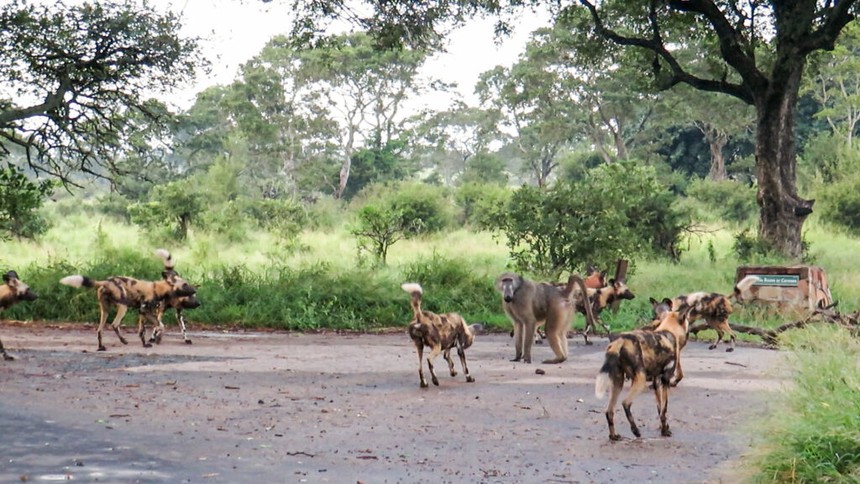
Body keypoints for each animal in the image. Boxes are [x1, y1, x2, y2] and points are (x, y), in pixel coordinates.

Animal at [59, 270, 197, 350]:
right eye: (185, 284)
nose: (195, 290)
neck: (158, 289)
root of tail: (106, 282)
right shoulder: (145, 311)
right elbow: (157, 327)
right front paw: (154, 340)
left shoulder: (144, 313)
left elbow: (147, 330)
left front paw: (148, 342)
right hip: (123, 307)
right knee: (114, 325)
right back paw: (123, 340)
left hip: (105, 311)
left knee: (99, 330)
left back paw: (101, 347)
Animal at [596, 308, 688, 440]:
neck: (669, 331)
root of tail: (621, 340)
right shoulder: (665, 379)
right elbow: (664, 408)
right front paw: (665, 431)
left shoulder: (656, 382)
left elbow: (660, 408)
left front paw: (663, 427)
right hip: (640, 380)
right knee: (625, 403)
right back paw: (636, 431)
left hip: (618, 383)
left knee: (609, 411)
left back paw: (614, 436)